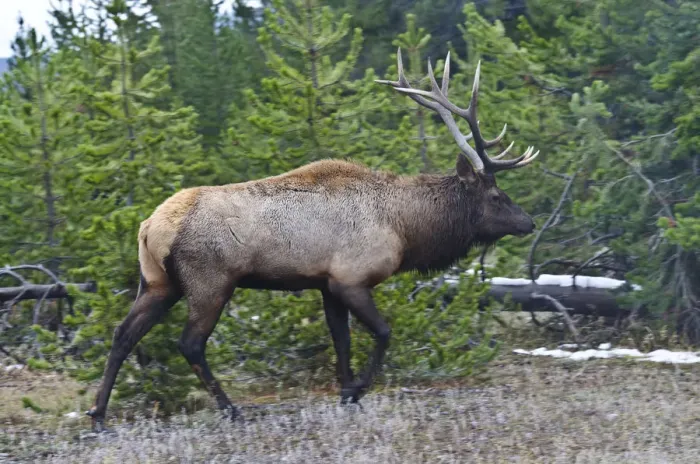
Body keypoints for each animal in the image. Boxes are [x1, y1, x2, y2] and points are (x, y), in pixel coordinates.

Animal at [86, 48, 539, 431]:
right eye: (496, 196)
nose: (529, 222)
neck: (405, 228)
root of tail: (150, 227)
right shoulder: (351, 278)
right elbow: (383, 333)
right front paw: (356, 390)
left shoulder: (326, 283)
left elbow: (340, 340)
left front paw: (345, 392)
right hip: (210, 281)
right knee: (190, 344)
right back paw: (231, 409)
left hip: (158, 282)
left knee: (123, 334)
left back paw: (98, 414)